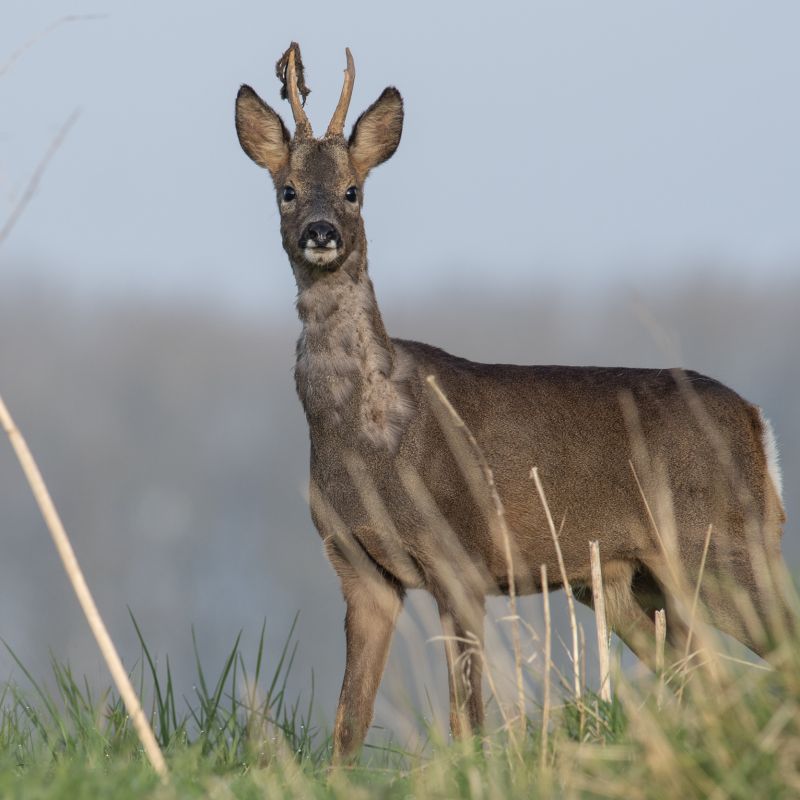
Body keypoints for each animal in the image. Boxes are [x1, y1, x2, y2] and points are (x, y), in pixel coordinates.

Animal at [234, 42, 792, 764]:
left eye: (355, 189)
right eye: (288, 190)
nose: (322, 231)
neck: (369, 437)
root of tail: (756, 423)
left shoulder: (460, 553)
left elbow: (466, 718)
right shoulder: (359, 567)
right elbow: (347, 725)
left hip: (724, 542)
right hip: (631, 579)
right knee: (707, 679)